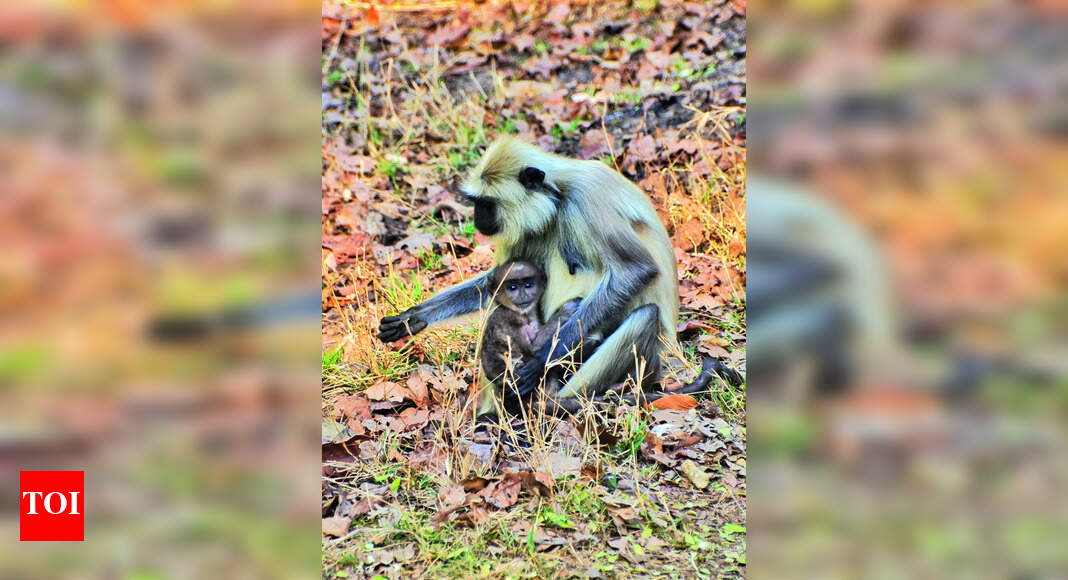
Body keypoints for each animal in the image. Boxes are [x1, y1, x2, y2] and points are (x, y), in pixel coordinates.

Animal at [379, 136, 733, 416]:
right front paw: (415, 317)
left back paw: (559, 404)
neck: (559, 193)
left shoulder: (588, 198)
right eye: (478, 203)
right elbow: (496, 286)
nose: (478, 218)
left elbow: (636, 270)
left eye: (487, 204)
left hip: (651, 360)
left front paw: (540, 360)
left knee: (644, 317)